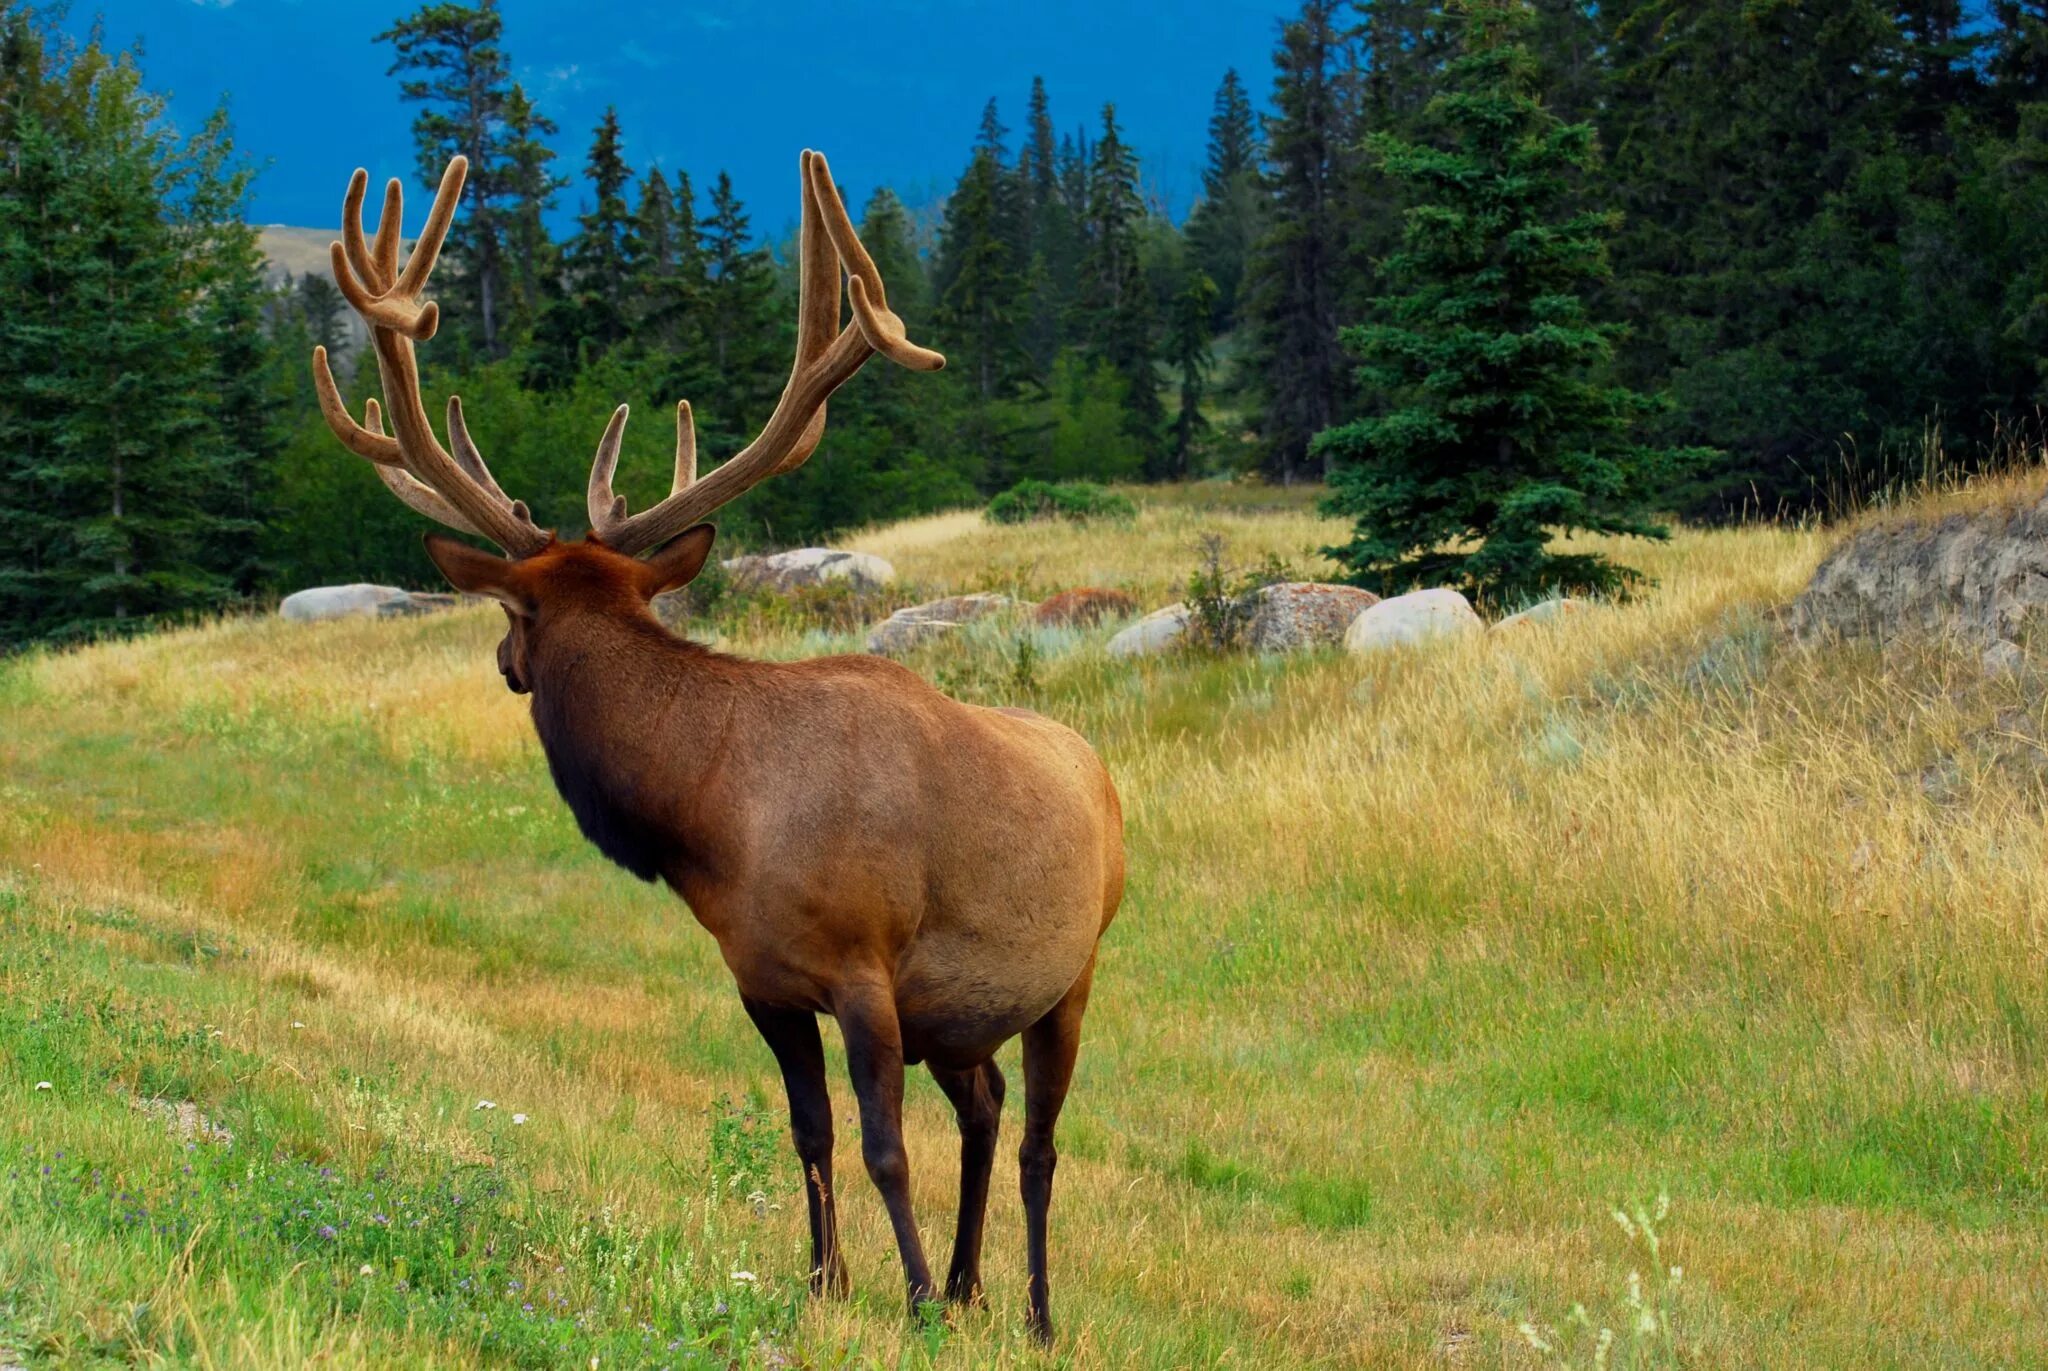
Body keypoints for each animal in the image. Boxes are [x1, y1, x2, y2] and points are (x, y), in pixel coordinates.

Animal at [308, 150, 1124, 1342]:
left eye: (514, 613)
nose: (503, 662)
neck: (718, 821)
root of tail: (1103, 777)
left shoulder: (866, 969)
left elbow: (882, 1148)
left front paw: (913, 1295)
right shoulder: (763, 981)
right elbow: (810, 1133)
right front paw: (826, 1282)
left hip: (1070, 971)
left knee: (1037, 1142)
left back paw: (1028, 1310)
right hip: (961, 1017)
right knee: (985, 1108)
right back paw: (974, 1283)